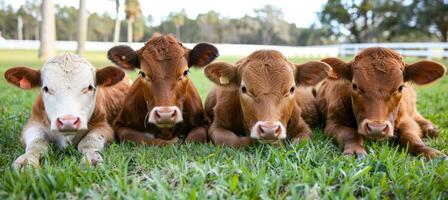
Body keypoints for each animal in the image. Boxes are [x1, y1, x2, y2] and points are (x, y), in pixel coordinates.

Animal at [203, 50, 332, 147]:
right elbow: (235, 141)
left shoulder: (303, 127)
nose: (269, 130)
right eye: (244, 89)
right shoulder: (216, 126)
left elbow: (299, 143)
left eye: (291, 89)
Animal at [316, 47, 446, 159]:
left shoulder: (407, 121)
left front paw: (428, 151)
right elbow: (350, 133)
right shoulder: (333, 123)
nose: (376, 129)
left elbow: (410, 137)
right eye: (354, 86)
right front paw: (355, 150)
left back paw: (431, 129)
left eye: (400, 87)